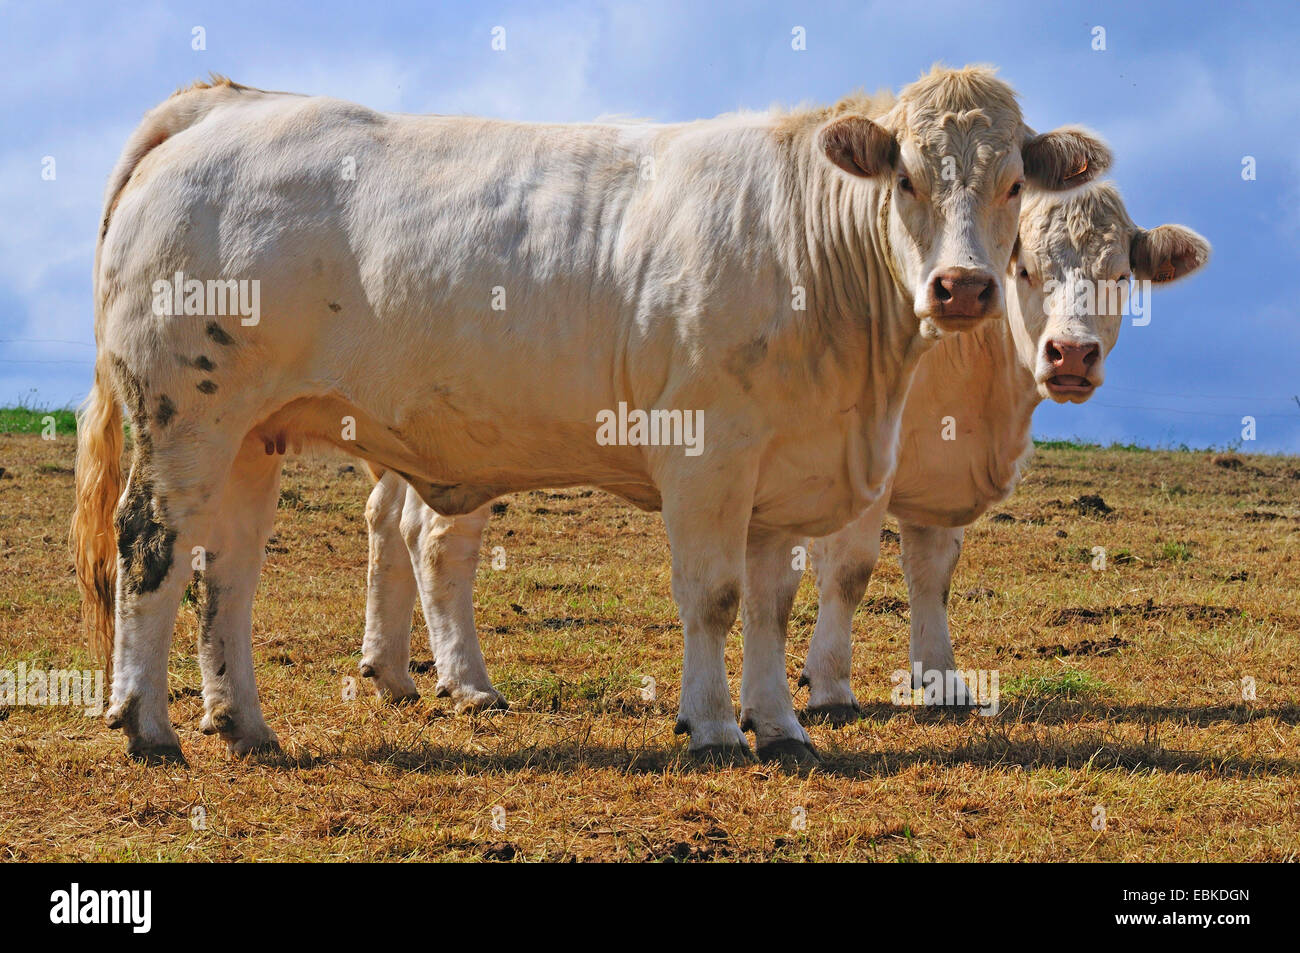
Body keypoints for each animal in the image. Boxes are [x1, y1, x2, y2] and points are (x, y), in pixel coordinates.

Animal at [71, 66, 1107, 764]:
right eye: (905, 179)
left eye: (1013, 182)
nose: (963, 287)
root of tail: (231, 101)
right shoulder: (708, 454)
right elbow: (715, 596)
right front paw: (716, 727)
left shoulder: (783, 465)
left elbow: (771, 602)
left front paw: (781, 724)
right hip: (183, 412)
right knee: (152, 543)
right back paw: (149, 723)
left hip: (252, 432)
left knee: (228, 570)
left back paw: (244, 722)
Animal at [358, 178, 1206, 722]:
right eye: (1024, 265)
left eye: (1121, 272)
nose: (1071, 354)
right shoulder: (863, 464)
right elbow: (851, 571)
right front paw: (828, 686)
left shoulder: (934, 470)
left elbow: (932, 573)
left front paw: (940, 681)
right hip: (475, 439)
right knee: (440, 541)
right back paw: (468, 681)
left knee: (388, 522)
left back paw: (391, 669)